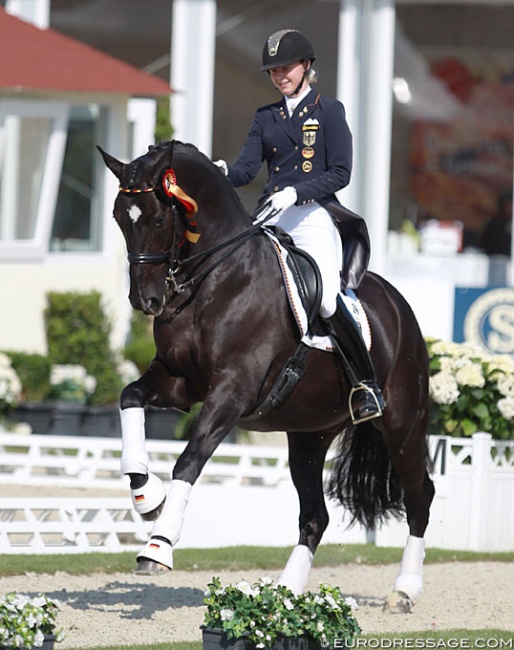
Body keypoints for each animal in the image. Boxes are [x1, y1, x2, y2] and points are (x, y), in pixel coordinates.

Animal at [99, 139, 432, 612]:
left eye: (159, 218)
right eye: (117, 217)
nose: (145, 300)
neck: (215, 278)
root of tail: (398, 305)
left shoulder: (232, 392)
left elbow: (190, 459)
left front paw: (158, 545)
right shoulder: (179, 381)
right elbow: (129, 398)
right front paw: (147, 496)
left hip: (402, 424)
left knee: (419, 497)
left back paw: (403, 590)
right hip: (309, 436)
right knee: (315, 517)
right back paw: (286, 593)